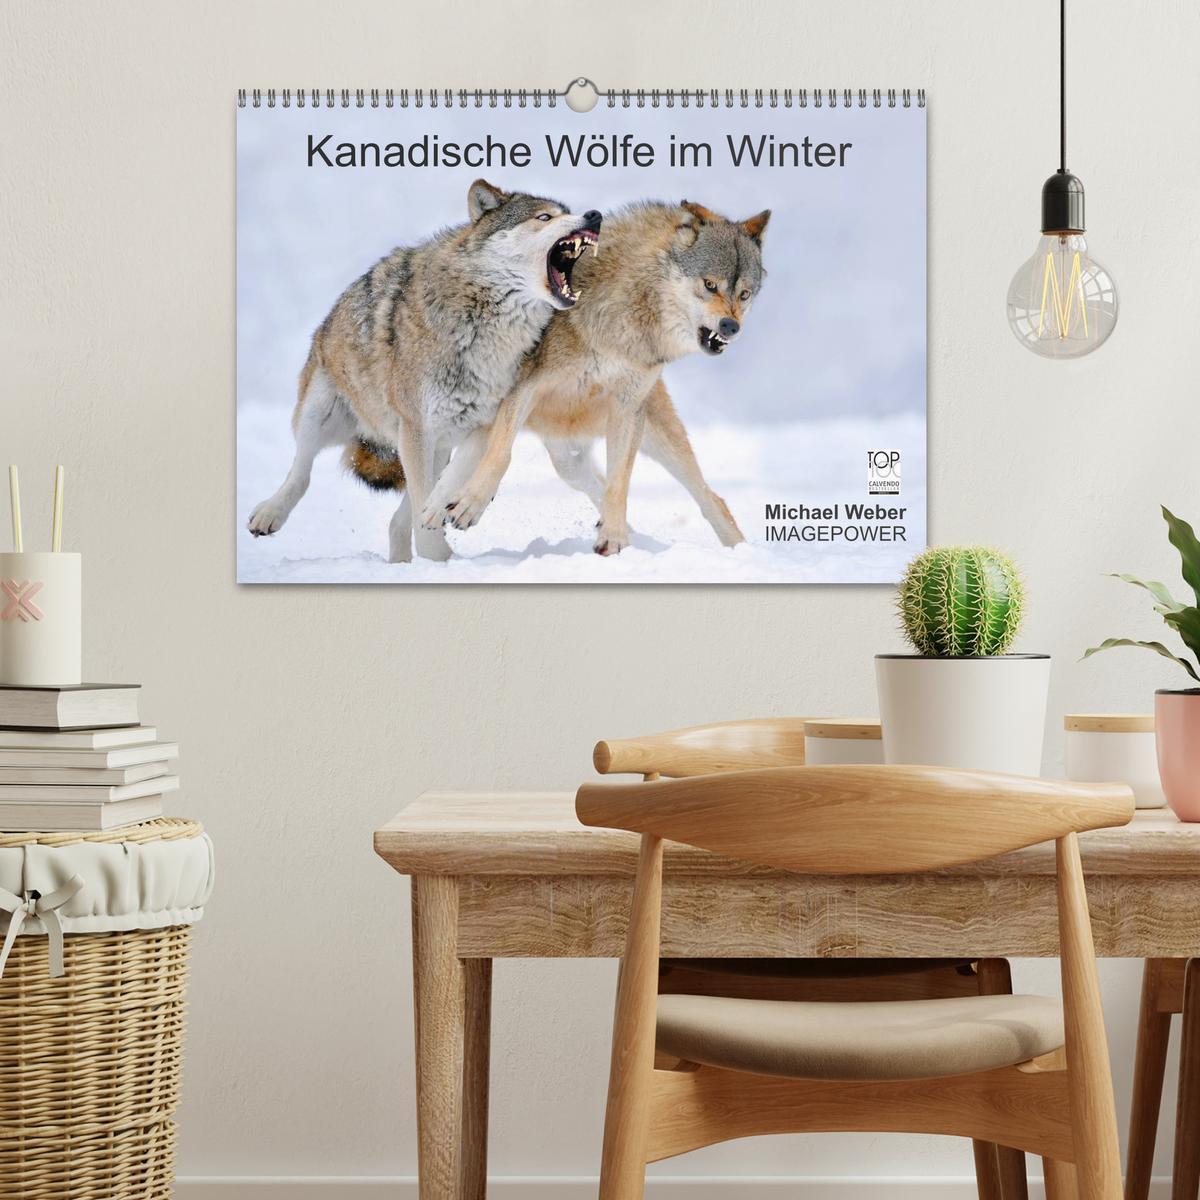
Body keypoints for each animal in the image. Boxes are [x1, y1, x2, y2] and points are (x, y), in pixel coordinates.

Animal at [246, 179, 601, 562]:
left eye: (568, 212)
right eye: (545, 217)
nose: (594, 216)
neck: (483, 326)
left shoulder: (484, 421)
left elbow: (447, 484)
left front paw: (445, 518)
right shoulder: (416, 426)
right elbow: (421, 508)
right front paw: (438, 559)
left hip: (432, 445)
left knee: (398, 517)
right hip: (322, 413)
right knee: (302, 470)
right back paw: (269, 513)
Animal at [413, 198, 769, 555]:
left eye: (744, 294)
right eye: (710, 285)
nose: (730, 326)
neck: (628, 317)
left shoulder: (627, 408)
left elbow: (618, 482)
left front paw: (613, 538)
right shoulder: (524, 386)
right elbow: (501, 453)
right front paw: (470, 504)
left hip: (644, 439)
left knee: (711, 498)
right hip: (569, 456)